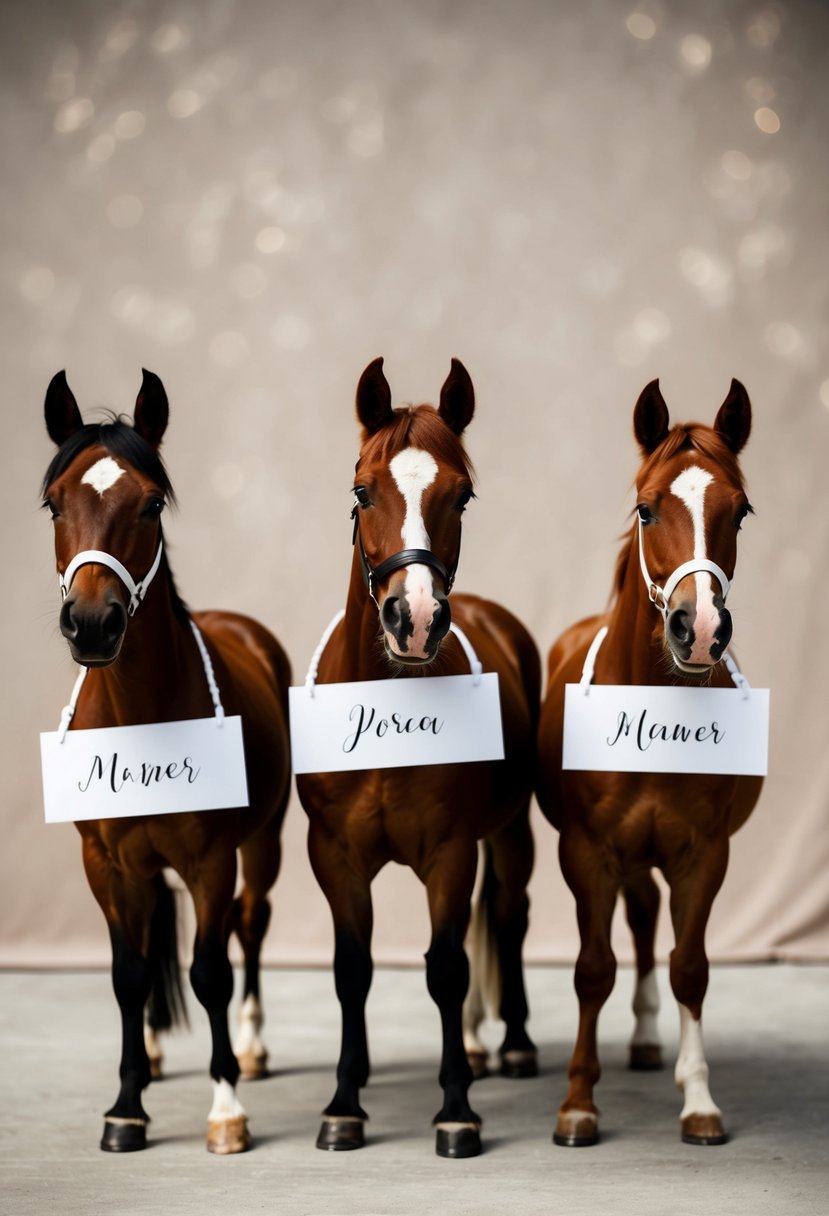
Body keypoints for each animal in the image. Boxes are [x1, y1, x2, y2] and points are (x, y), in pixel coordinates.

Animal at [44, 367, 294, 1147]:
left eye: (151, 502)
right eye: (53, 502)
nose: (92, 623)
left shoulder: (213, 860)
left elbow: (210, 970)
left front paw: (226, 1108)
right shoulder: (103, 862)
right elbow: (128, 973)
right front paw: (126, 1105)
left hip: (264, 844)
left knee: (252, 925)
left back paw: (251, 1046)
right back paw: (151, 1057)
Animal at [294, 357, 539, 1157]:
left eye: (461, 493)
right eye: (361, 490)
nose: (418, 618)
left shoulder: (451, 853)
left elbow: (447, 970)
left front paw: (456, 1107)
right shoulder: (334, 856)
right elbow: (352, 970)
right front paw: (343, 1105)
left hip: (512, 833)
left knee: (510, 914)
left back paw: (512, 1045)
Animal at [534, 379, 763, 1147]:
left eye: (740, 510)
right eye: (645, 507)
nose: (700, 629)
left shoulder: (705, 852)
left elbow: (688, 968)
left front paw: (698, 1101)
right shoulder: (587, 851)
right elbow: (591, 969)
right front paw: (578, 1103)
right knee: (631, 927)